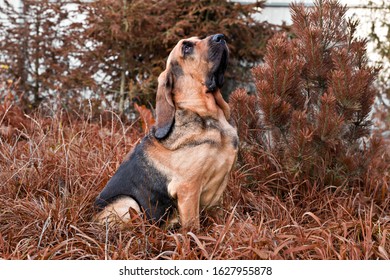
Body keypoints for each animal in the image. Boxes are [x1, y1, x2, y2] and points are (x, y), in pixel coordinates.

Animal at [96, 34, 239, 229]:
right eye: (186, 47)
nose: (221, 37)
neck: (210, 116)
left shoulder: (218, 192)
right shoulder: (188, 189)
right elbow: (193, 226)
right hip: (128, 202)